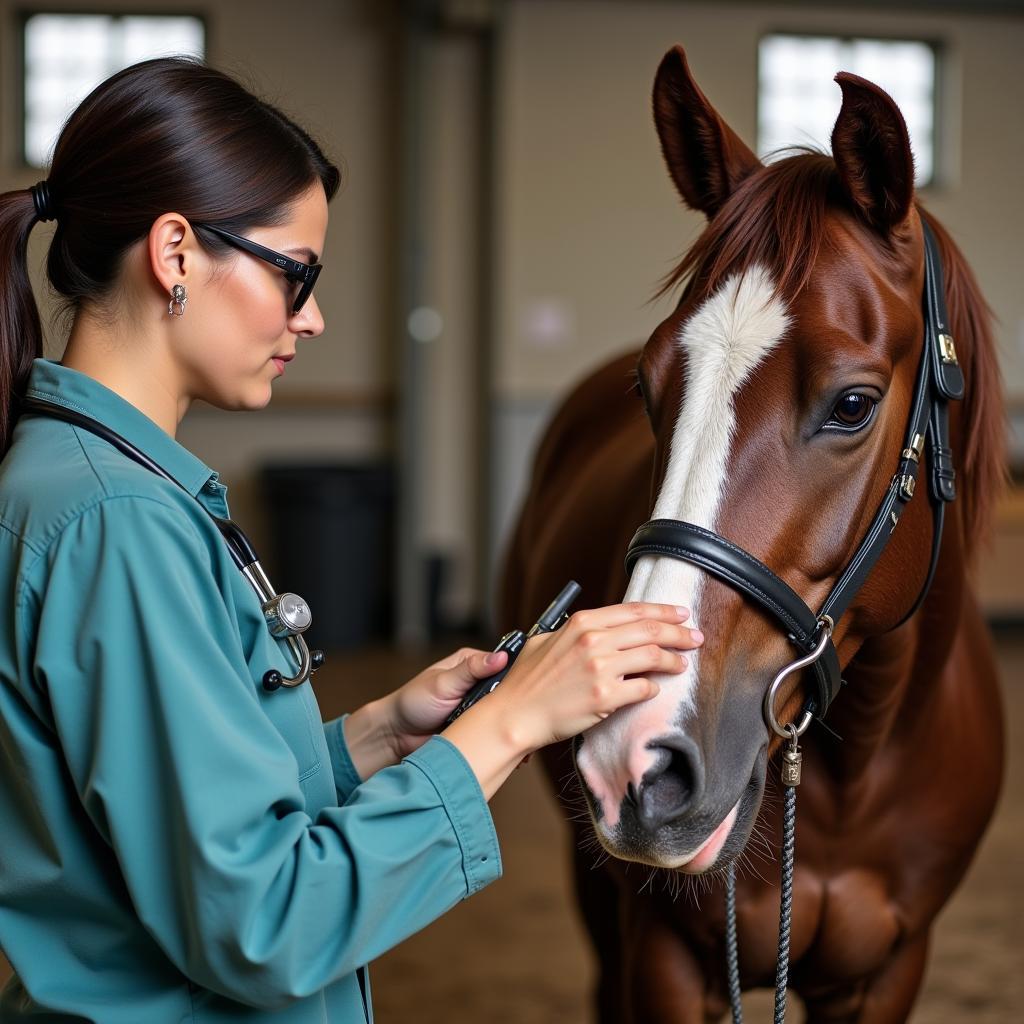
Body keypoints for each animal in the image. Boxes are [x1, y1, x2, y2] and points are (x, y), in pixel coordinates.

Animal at [499, 44, 1003, 1019]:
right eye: (648, 387)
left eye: (853, 405)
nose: (635, 760)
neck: (856, 776)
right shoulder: (664, 957)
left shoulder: (888, 971)